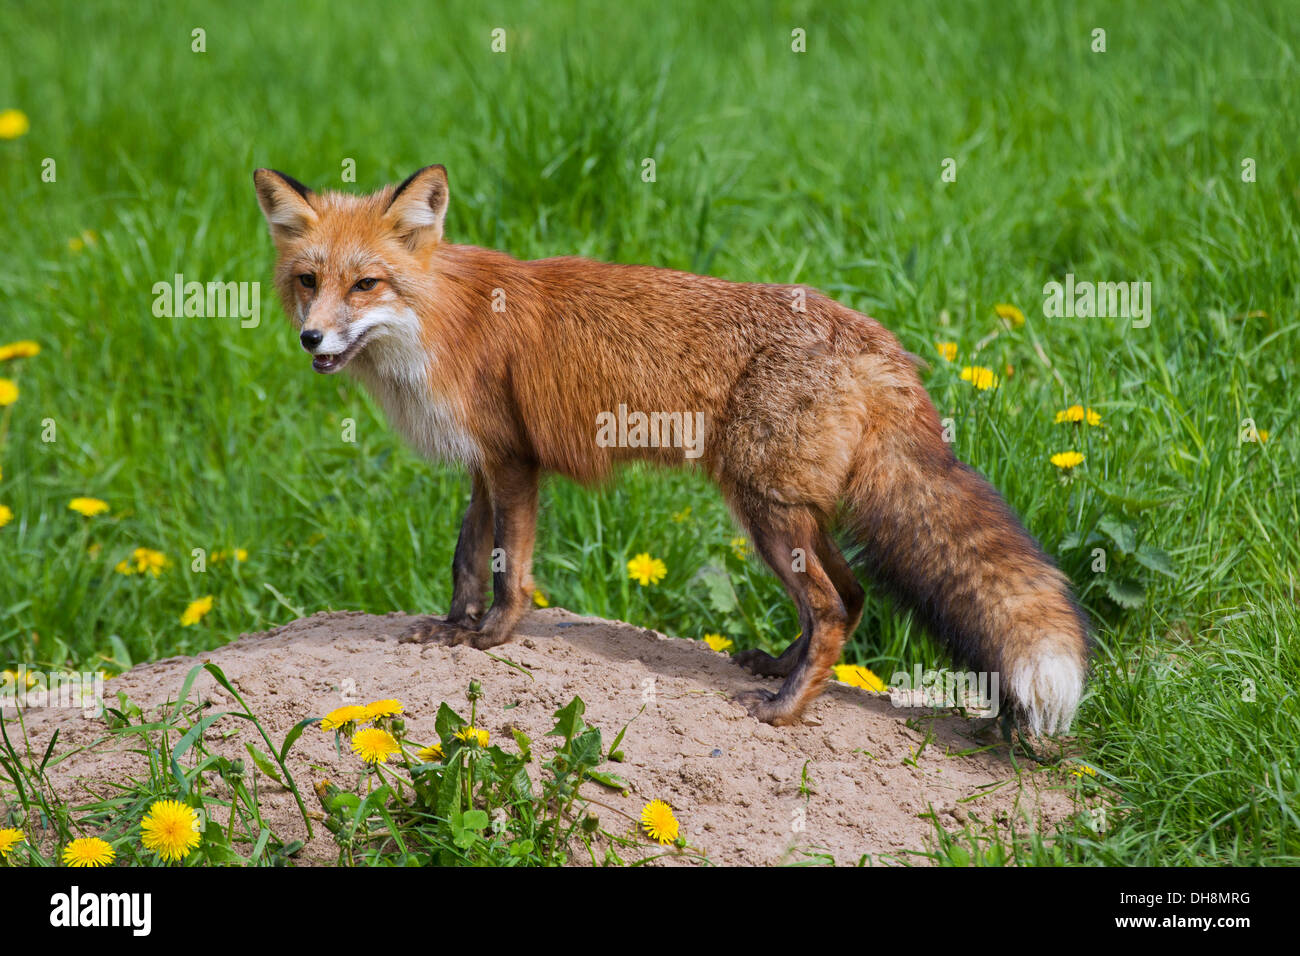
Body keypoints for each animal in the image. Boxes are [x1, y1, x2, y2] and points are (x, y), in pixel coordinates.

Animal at [250, 162, 1086, 733]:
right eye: (307, 280)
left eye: (365, 285)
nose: (311, 338)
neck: (438, 324)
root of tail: (880, 341)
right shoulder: (483, 466)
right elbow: (465, 560)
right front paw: (452, 630)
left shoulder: (515, 460)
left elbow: (510, 571)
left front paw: (492, 638)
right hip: (789, 514)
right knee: (847, 598)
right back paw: (777, 667)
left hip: (766, 510)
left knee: (832, 607)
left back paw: (784, 708)